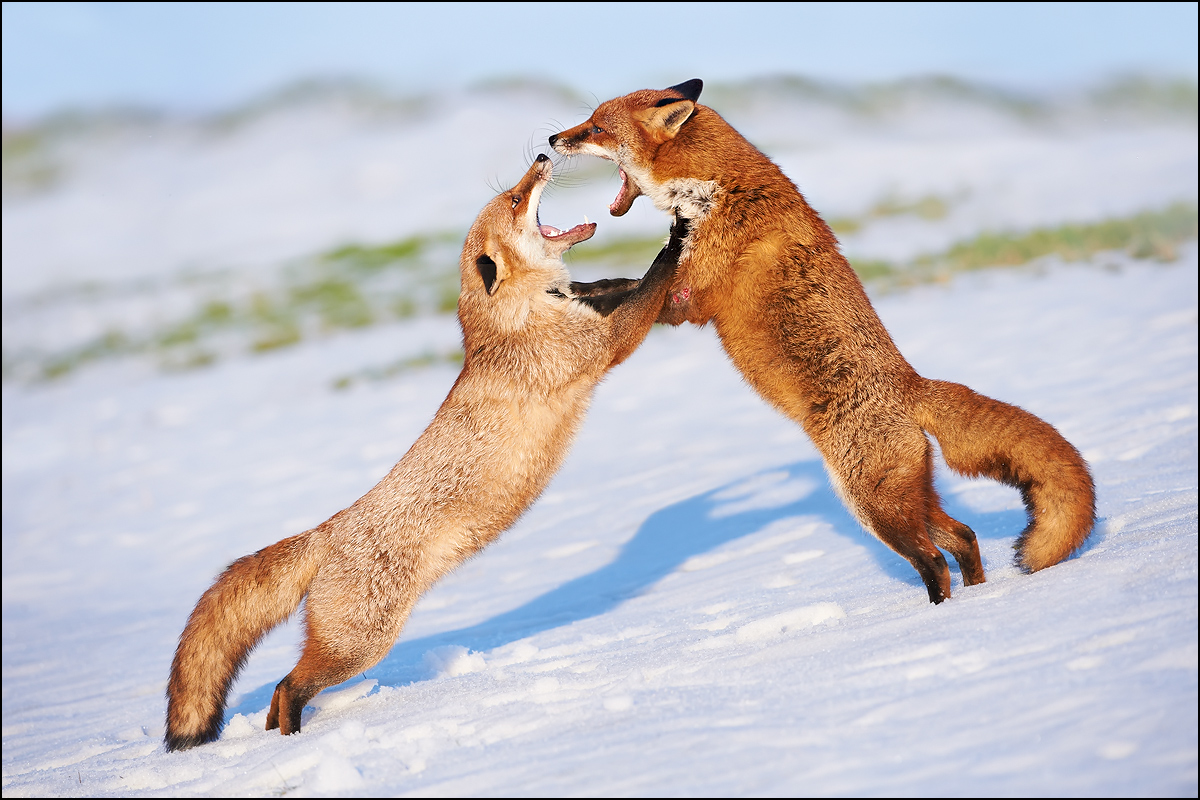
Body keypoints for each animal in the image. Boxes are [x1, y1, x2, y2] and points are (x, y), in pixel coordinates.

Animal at [164, 153, 686, 751]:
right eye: (515, 199)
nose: (541, 156)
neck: (517, 321)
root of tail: (327, 531)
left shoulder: (591, 310)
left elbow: (617, 284)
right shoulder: (602, 348)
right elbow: (650, 283)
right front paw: (677, 236)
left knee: (279, 692)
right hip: (362, 644)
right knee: (286, 685)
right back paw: (295, 739)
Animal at [550, 79, 1096, 604]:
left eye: (596, 127)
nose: (552, 140)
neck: (718, 187)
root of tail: (912, 384)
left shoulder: (690, 298)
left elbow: (635, 286)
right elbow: (619, 285)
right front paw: (568, 291)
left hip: (873, 505)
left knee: (933, 560)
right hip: (911, 500)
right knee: (964, 537)